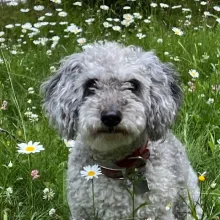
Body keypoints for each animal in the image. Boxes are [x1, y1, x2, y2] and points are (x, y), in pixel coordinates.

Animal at [40, 42, 201, 219]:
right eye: (91, 84)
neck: (118, 167)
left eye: (133, 84)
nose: (110, 117)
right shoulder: (81, 212)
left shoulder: (158, 211)